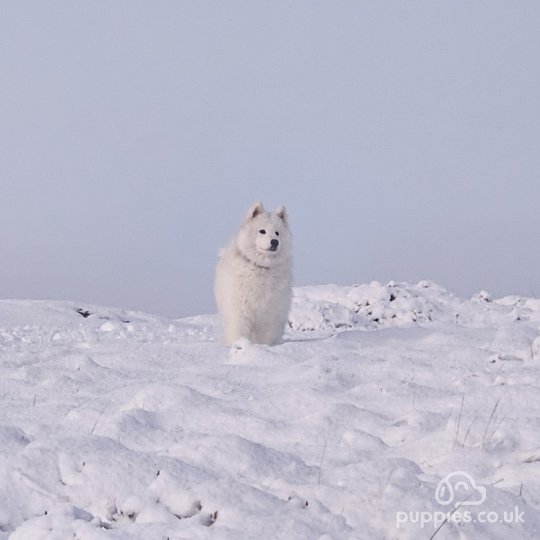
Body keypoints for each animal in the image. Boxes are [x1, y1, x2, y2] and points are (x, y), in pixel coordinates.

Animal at [214, 202, 294, 346]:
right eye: (262, 231)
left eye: (277, 233)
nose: (275, 241)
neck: (261, 267)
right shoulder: (240, 309)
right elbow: (238, 331)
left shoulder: (270, 312)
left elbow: (266, 336)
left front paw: (264, 347)